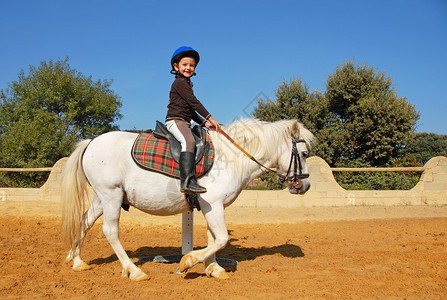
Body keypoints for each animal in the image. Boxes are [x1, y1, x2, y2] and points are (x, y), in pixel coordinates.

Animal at [61, 118, 316, 280]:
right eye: (304, 154)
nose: (305, 185)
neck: (233, 156)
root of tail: (91, 143)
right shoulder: (213, 204)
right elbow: (221, 238)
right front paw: (187, 263)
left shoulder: (214, 207)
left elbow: (214, 238)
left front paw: (213, 268)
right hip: (111, 195)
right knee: (110, 232)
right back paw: (134, 270)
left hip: (102, 198)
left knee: (84, 222)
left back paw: (77, 261)